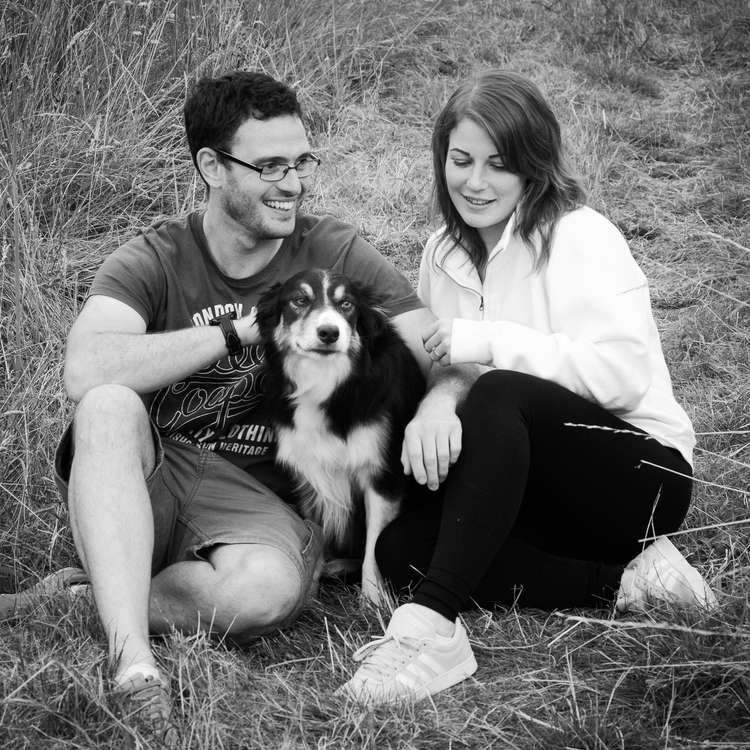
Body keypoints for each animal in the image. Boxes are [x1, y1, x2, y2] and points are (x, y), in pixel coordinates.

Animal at [258, 270, 426, 604]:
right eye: (299, 300)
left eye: (346, 304)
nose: (329, 333)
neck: (327, 381)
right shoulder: (308, 472)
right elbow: (316, 533)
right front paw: (309, 590)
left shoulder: (382, 473)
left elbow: (374, 545)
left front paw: (372, 601)